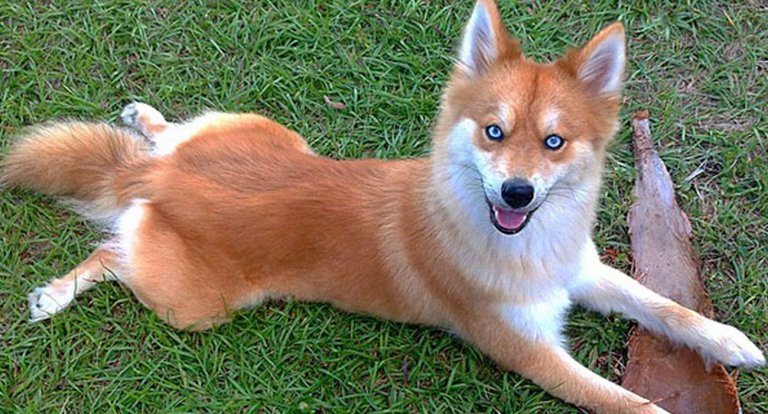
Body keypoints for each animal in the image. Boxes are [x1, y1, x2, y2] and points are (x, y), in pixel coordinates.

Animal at [1, 1, 764, 413]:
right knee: (110, 248)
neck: (522, 244)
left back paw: (145, 118)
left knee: (165, 142)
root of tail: (163, 182)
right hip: (195, 305)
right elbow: (631, 400)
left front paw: (731, 342)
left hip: (265, 134)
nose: (516, 192)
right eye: (493, 132)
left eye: (554, 142)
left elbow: (661, 305)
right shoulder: (531, 353)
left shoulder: (579, 270)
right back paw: (55, 294)